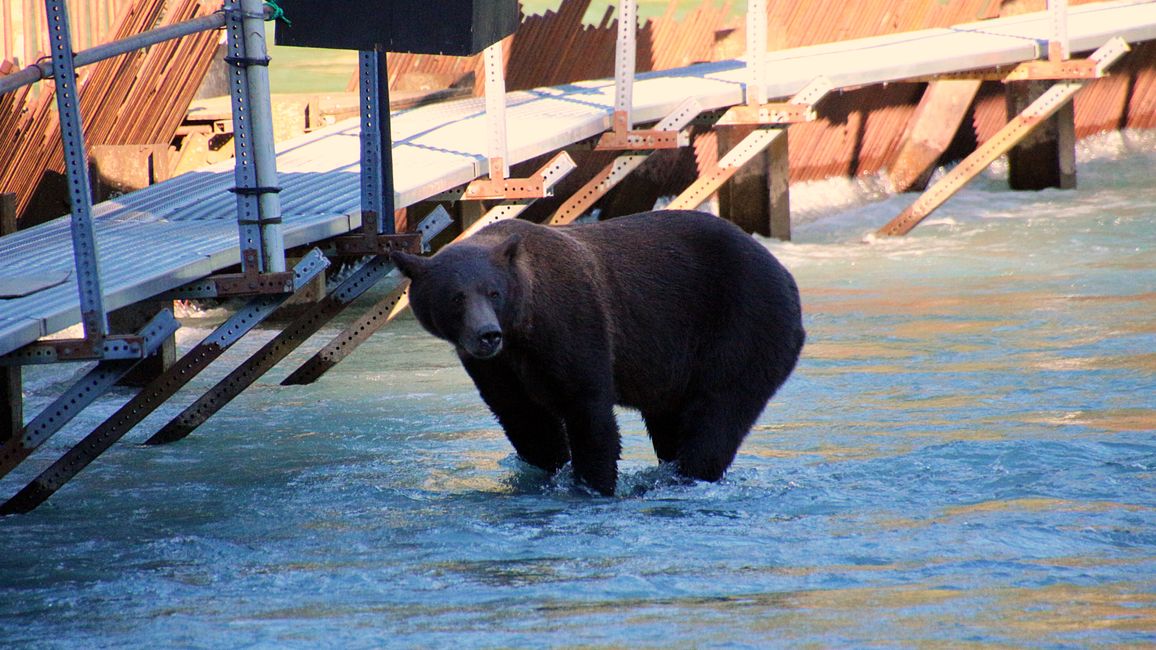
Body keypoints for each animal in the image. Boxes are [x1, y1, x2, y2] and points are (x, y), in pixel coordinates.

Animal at [390, 210, 804, 492]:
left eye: (493, 291)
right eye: (456, 297)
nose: (487, 335)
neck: (524, 327)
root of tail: (783, 271)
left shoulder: (573, 323)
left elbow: (588, 409)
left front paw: (593, 483)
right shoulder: (497, 367)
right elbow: (523, 417)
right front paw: (547, 473)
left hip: (745, 324)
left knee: (719, 412)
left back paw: (686, 475)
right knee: (671, 419)